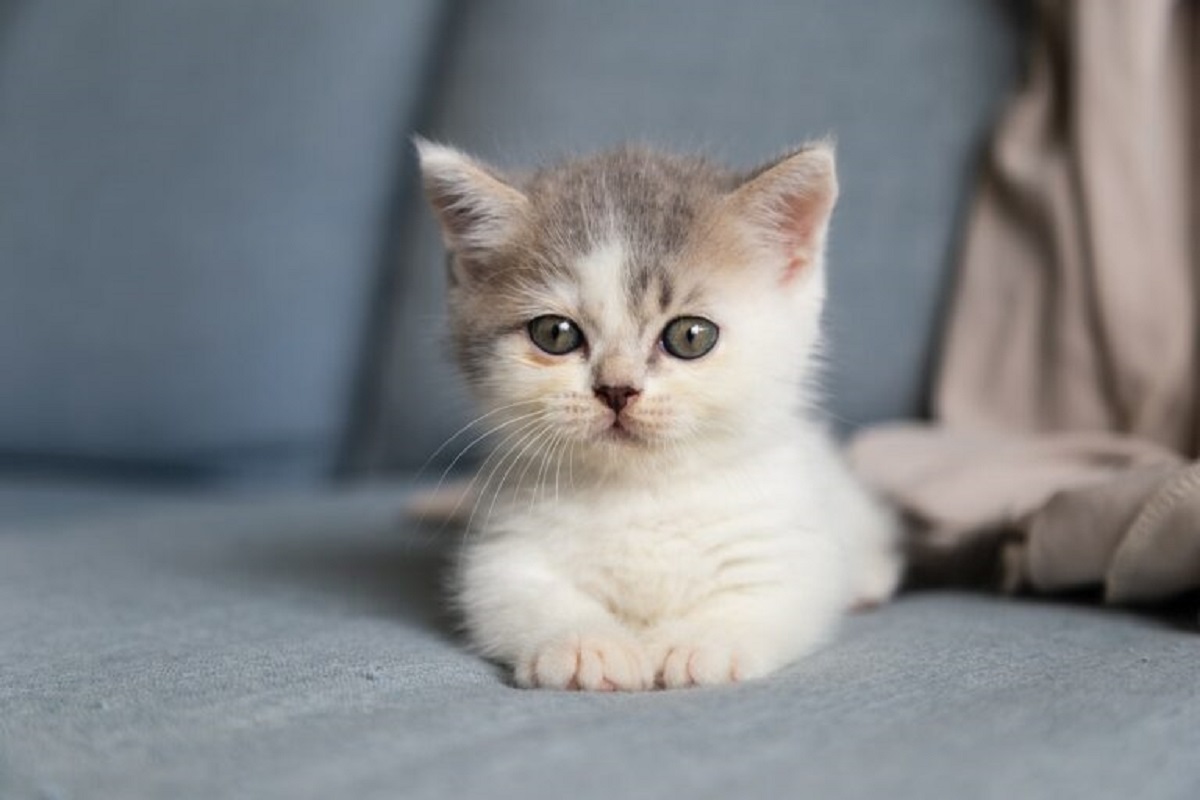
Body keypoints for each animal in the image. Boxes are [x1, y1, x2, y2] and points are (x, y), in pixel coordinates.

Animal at [417, 140, 897, 690]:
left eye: (691, 336)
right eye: (555, 334)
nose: (617, 389)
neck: (641, 491)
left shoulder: (789, 547)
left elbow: (766, 594)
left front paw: (702, 643)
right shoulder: (503, 555)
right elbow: (522, 597)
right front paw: (586, 646)